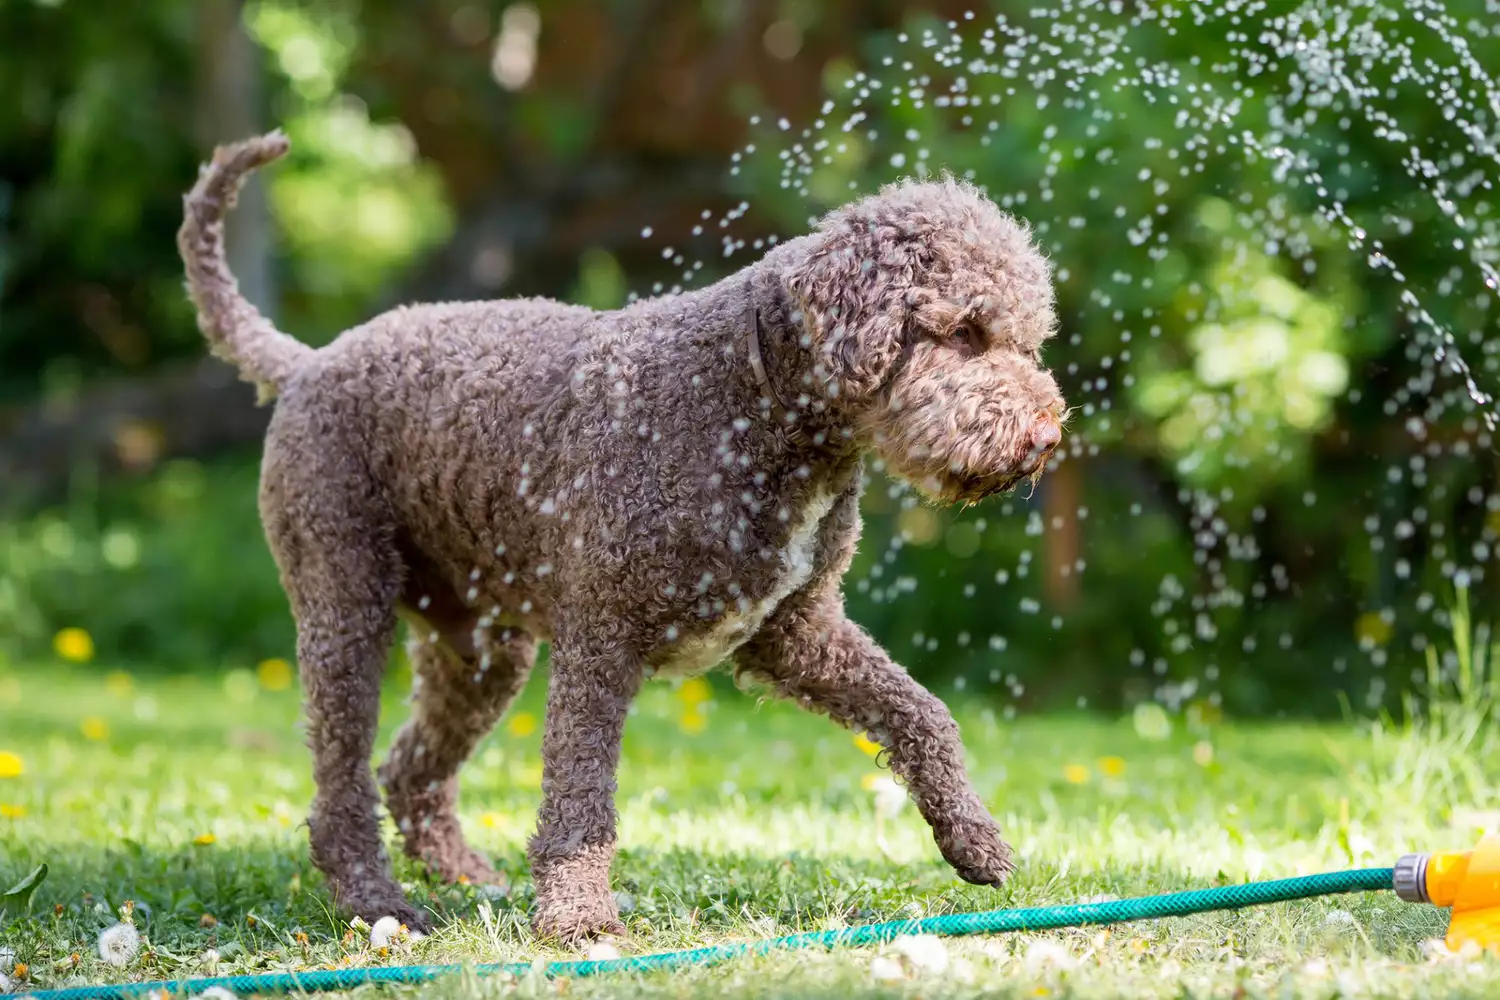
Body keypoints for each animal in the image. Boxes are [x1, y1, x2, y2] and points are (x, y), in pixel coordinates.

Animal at [175, 128, 1068, 941]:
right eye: (964, 331)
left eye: (1028, 340)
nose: (1045, 436)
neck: (746, 404)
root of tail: (307, 362)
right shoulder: (601, 641)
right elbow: (579, 799)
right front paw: (578, 917)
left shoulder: (794, 632)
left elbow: (922, 713)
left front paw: (973, 838)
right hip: (346, 609)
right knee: (342, 789)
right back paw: (377, 901)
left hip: (482, 650)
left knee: (410, 770)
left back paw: (466, 878)